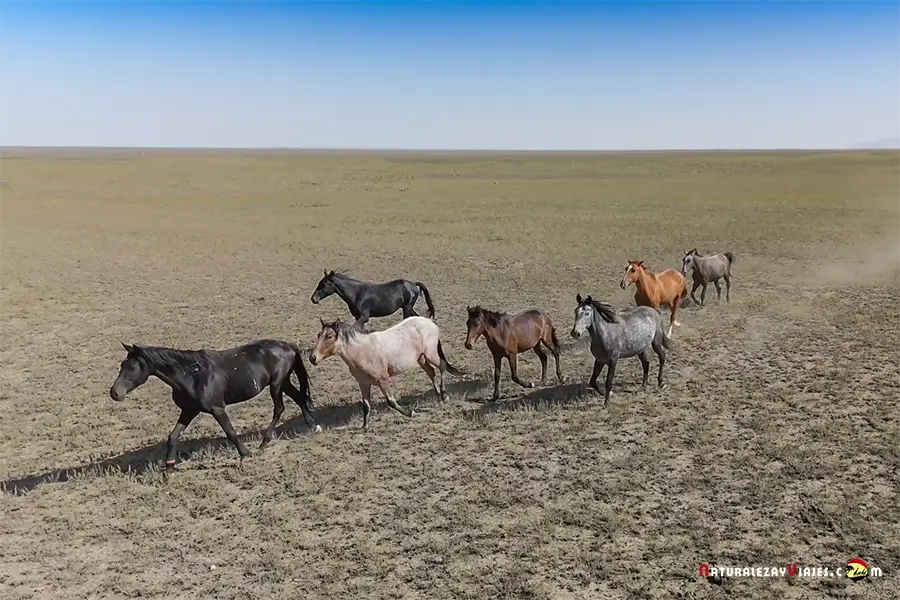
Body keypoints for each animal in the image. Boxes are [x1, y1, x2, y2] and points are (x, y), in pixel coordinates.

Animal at [109, 340, 320, 472]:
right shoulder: (189, 410)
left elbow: (230, 433)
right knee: (299, 398)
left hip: (276, 384)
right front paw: (168, 468)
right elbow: (173, 436)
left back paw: (264, 442)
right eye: (121, 365)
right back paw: (313, 426)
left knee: (280, 408)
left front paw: (245, 456)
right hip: (283, 382)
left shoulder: (217, 409)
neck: (191, 375)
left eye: (133, 367)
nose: (115, 393)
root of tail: (288, 345)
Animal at [309, 316, 464, 430]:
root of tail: (429, 322)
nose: (312, 358)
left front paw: (410, 413)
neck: (362, 351)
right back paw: (438, 397)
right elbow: (366, 405)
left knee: (442, 366)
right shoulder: (363, 384)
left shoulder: (383, 380)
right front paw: (364, 427)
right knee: (431, 372)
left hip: (431, 354)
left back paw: (444, 396)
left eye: (329, 336)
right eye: (318, 335)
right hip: (421, 358)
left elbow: (391, 401)